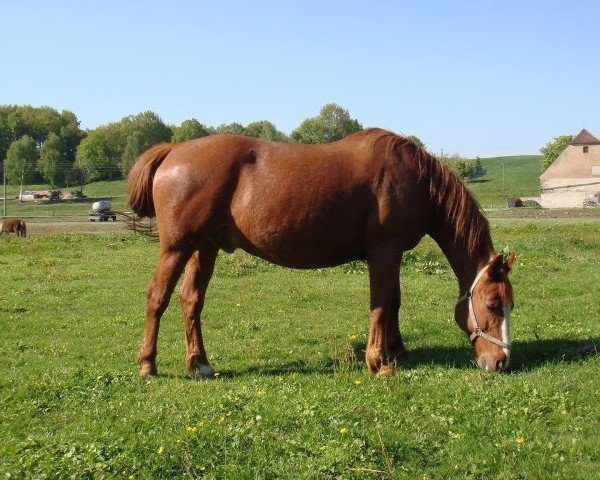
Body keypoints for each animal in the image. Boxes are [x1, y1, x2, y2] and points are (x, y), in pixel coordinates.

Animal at [127, 128, 516, 378]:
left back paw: (201, 364)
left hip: (204, 247)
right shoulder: (384, 252)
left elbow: (393, 302)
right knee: (157, 297)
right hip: (177, 247)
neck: (418, 181)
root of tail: (174, 151)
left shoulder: (392, 255)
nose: (501, 361)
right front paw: (379, 362)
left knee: (190, 300)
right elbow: (381, 305)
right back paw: (148, 364)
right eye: (493, 304)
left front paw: (396, 351)